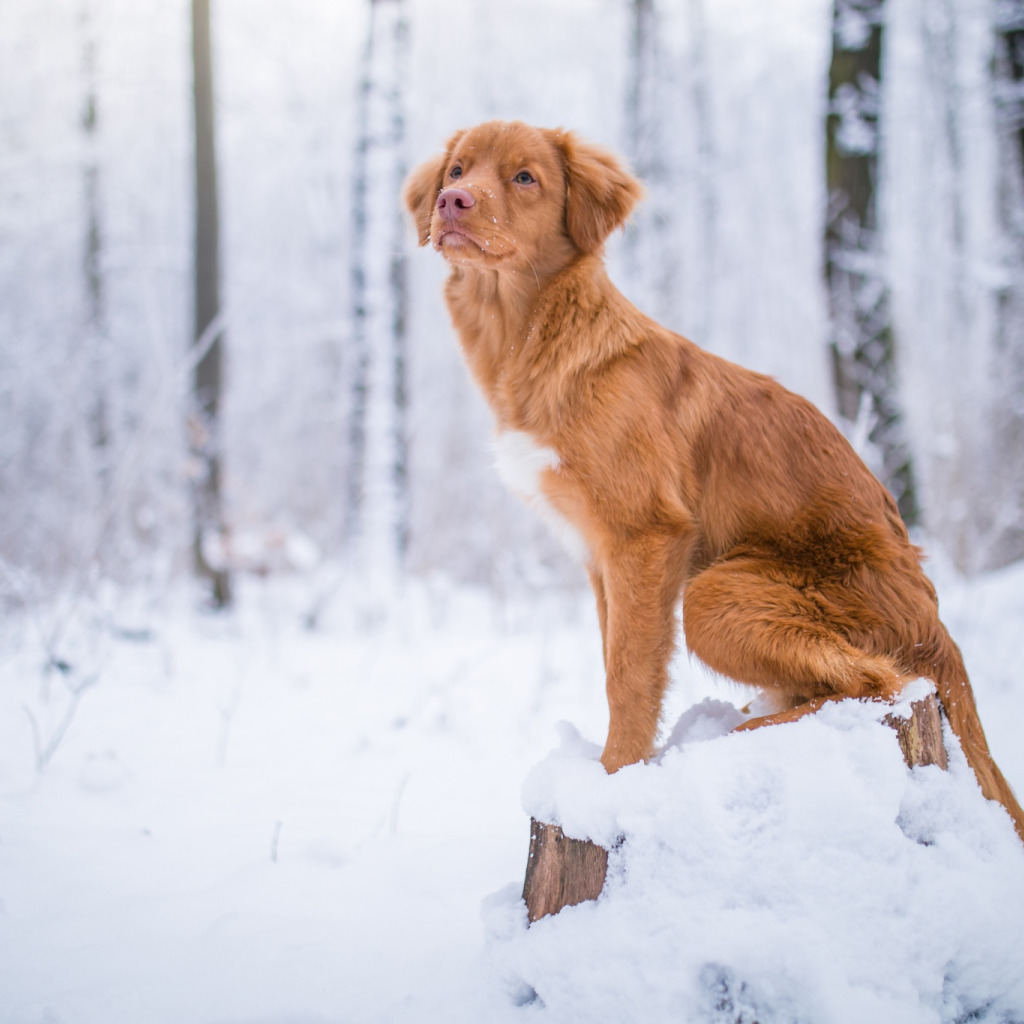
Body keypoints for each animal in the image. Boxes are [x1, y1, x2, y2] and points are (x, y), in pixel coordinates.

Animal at [403, 119, 1019, 839]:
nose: (454, 202)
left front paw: (614, 779)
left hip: (714, 593)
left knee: (876, 682)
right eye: (457, 171)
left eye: (525, 177)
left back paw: (741, 735)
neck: (537, 339)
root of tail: (936, 626)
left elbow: (628, 673)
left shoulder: (647, 535)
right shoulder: (602, 556)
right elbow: (618, 653)